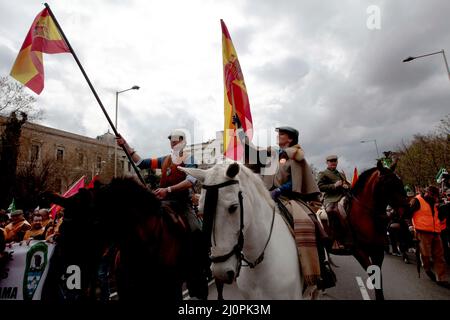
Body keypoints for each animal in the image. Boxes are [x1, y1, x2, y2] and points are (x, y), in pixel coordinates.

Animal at [344, 162, 408, 300]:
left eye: (399, 181)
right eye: (388, 183)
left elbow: (378, 277)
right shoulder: (358, 251)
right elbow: (373, 275)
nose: (407, 209)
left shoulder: (377, 251)